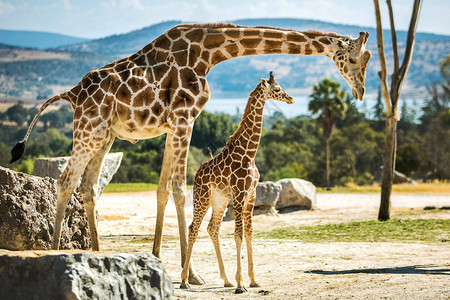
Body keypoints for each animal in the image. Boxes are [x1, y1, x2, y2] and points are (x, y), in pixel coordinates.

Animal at [181, 72, 294, 292]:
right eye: (277, 89)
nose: (291, 99)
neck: (248, 153)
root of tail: (197, 173)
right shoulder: (240, 195)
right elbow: (238, 234)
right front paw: (241, 284)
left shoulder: (251, 195)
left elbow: (249, 233)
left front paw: (253, 280)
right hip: (202, 197)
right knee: (193, 228)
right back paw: (184, 281)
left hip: (220, 200)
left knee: (212, 228)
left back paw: (226, 280)